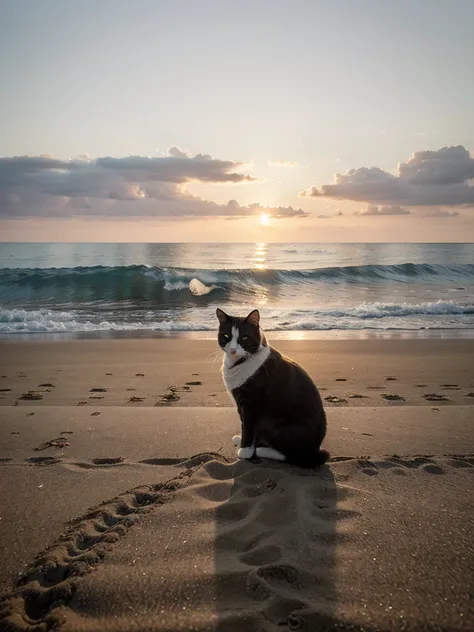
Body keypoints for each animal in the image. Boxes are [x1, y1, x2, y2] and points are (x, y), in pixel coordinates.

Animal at [216, 308, 330, 466]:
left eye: (244, 337)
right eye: (226, 336)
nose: (233, 350)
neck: (240, 362)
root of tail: (315, 450)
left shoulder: (250, 404)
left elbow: (248, 426)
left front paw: (245, 451)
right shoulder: (240, 405)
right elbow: (244, 425)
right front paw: (245, 442)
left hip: (276, 422)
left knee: (291, 455)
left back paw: (260, 450)